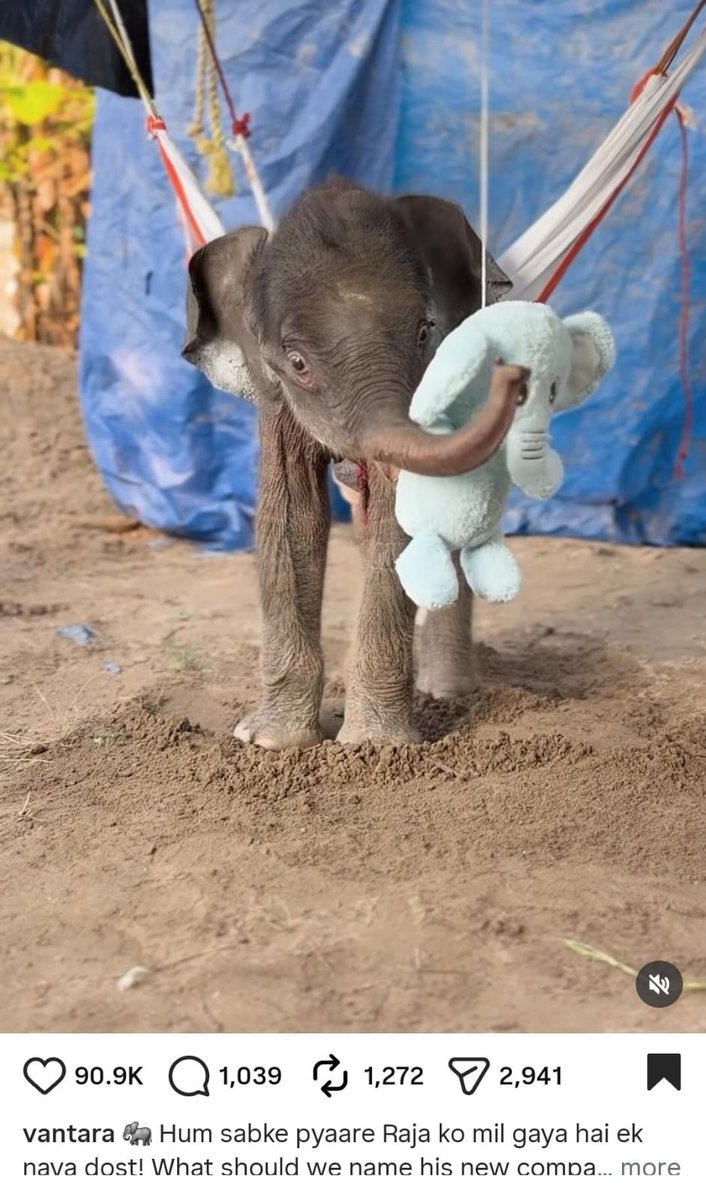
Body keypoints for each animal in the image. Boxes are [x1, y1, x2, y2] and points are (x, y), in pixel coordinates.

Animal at [183, 178, 527, 747]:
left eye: (425, 332)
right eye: (297, 362)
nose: (514, 374)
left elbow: (398, 520)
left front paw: (374, 747)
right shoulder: (278, 404)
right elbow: (293, 518)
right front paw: (268, 741)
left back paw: (445, 693)